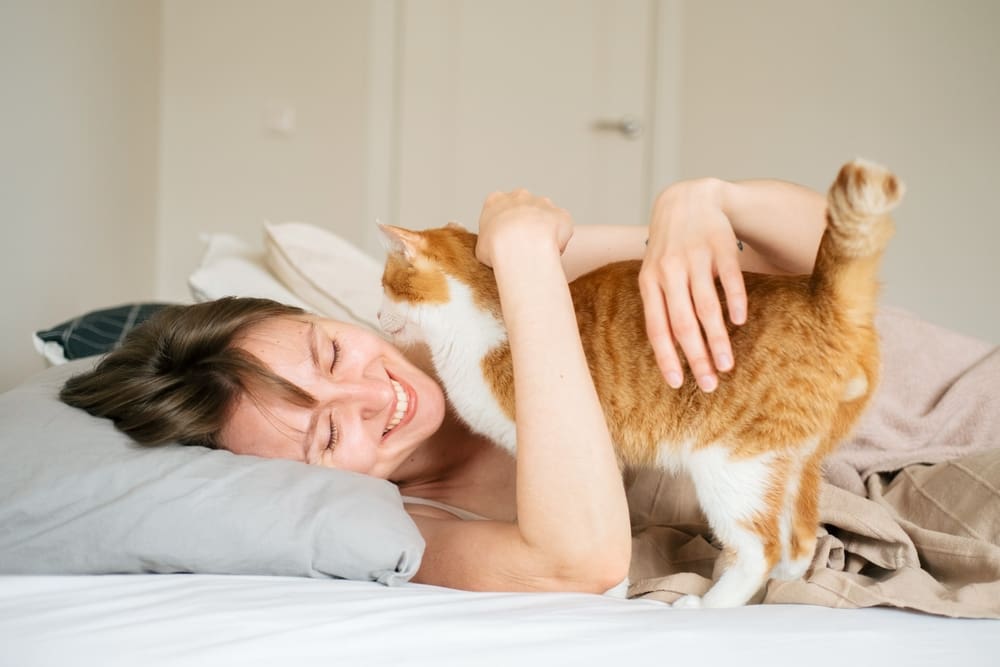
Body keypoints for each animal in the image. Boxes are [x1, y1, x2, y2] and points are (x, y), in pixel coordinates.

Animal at [376, 162, 908, 612]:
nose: (378, 317)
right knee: (799, 542)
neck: (480, 317)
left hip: (731, 464)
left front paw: (609, 597)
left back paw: (708, 604)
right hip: (792, 464)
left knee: (762, 548)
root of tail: (819, 295)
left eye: (383, 284)